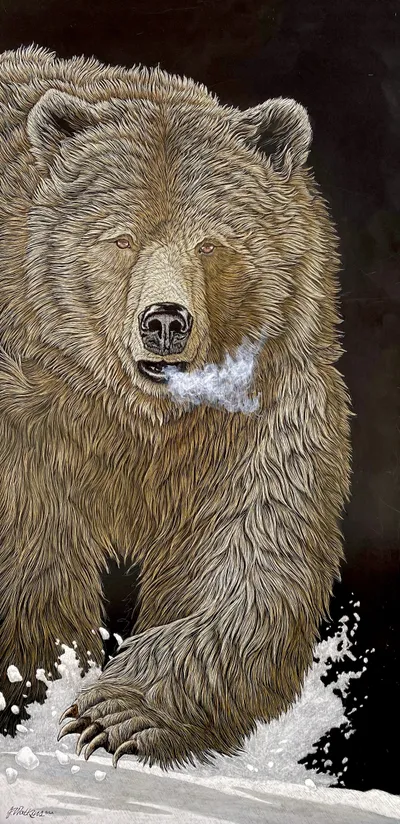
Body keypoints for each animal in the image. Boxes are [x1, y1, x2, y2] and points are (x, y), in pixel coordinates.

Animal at [0, 45, 351, 769]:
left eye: (211, 243)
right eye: (120, 239)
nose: (165, 321)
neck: (137, 413)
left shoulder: (258, 401)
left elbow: (250, 552)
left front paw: (117, 712)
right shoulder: (33, 402)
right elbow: (31, 548)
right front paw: (47, 675)